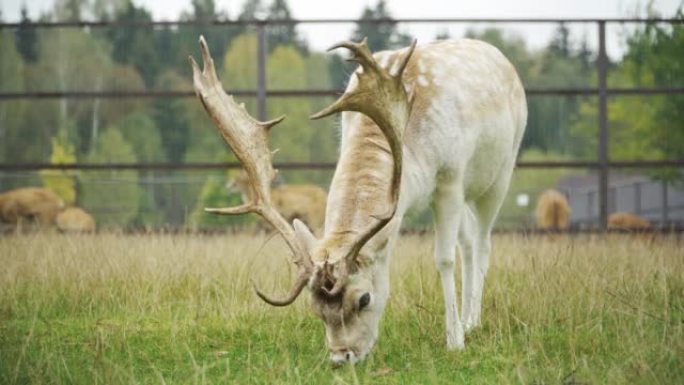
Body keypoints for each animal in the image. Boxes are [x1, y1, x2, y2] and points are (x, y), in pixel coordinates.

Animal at [190, 33, 528, 364]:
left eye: (364, 299)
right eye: (315, 309)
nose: (341, 357)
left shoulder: (450, 178)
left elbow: (444, 259)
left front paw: (454, 341)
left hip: (500, 173)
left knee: (482, 243)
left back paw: (472, 321)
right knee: (468, 241)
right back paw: (469, 318)